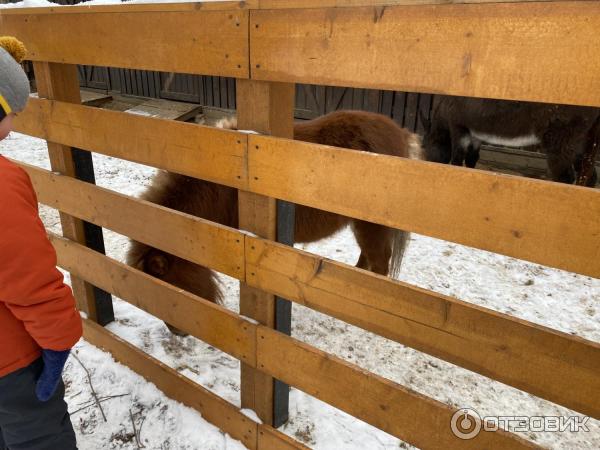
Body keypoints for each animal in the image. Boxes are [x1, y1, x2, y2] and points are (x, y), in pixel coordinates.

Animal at [126, 109, 424, 334]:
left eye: (172, 284)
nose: (178, 331)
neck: (220, 187)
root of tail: (400, 133)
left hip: (372, 226)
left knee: (379, 263)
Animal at [422, 96, 600, 185]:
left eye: (424, 147)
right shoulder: (475, 135)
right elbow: (472, 159)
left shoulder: (459, 127)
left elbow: (457, 160)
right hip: (582, 142)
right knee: (589, 177)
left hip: (560, 140)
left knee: (565, 178)